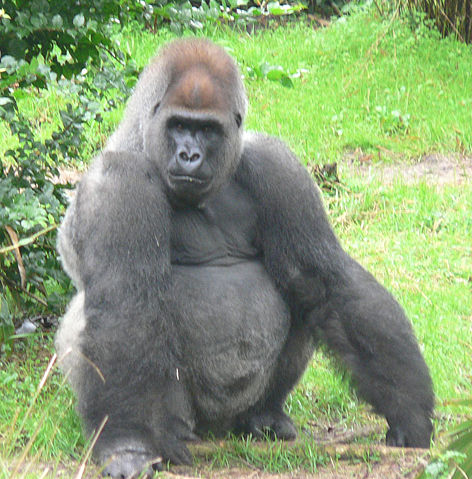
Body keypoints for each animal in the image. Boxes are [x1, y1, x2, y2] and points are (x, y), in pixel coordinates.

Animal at [56, 39, 436, 478]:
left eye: (208, 130)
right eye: (178, 126)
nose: (189, 155)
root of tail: (218, 430)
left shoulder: (277, 164)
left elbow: (322, 278)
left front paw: (409, 410)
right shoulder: (118, 182)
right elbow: (125, 308)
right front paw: (127, 443)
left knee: (299, 292)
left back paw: (263, 417)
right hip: (188, 421)